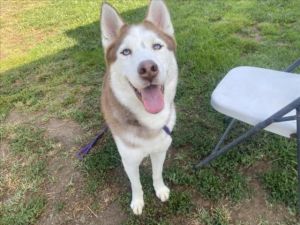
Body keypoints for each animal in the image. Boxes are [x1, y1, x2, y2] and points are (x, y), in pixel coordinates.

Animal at [99, 0, 177, 214]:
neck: (149, 120)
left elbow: (157, 174)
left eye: (157, 46)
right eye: (126, 51)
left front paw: (160, 190)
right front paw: (138, 202)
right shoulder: (129, 160)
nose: (148, 68)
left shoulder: (160, 150)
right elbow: (136, 185)